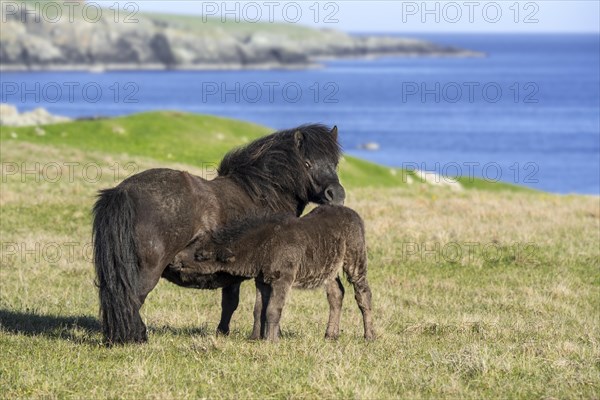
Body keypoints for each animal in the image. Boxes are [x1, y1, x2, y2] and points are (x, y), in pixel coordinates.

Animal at [92, 124, 344, 344]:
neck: (263, 195)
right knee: (132, 300)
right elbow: (260, 305)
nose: (337, 195)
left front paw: (224, 333)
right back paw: (136, 337)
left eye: (335, 163)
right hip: (146, 272)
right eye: (307, 163)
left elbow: (231, 303)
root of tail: (123, 191)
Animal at [169, 206, 376, 340]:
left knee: (363, 293)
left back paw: (369, 336)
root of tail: (354, 214)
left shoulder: (282, 279)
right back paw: (330, 335)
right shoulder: (262, 281)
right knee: (336, 294)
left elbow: (273, 310)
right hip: (329, 269)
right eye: (192, 242)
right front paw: (255, 338)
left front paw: (271, 340)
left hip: (355, 260)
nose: (175, 259)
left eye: (201, 255)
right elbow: (258, 310)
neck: (264, 243)